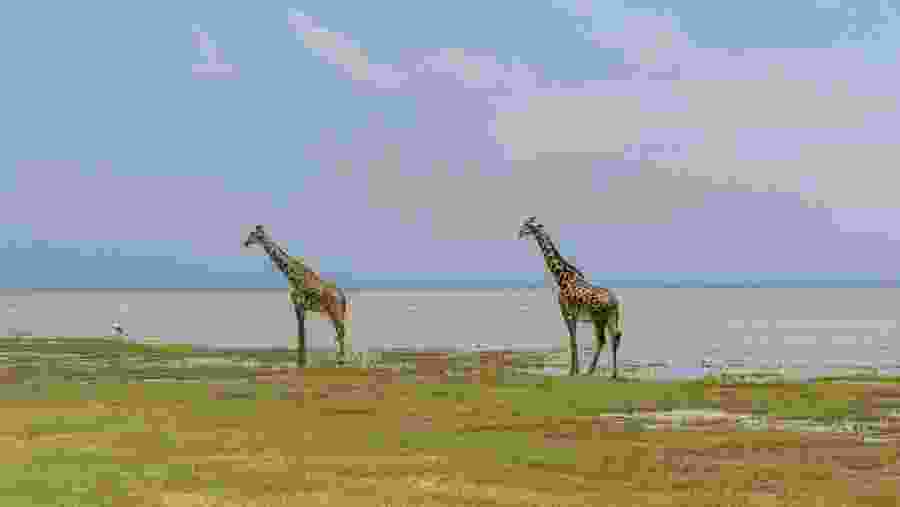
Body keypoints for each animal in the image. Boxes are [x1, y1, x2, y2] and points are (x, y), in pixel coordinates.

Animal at [243, 225, 352, 368]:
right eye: (251, 234)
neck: (293, 277)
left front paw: (301, 362)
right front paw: (301, 361)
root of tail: (342, 296)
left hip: (334, 311)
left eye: (256, 235)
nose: (246, 243)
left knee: (341, 330)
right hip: (336, 312)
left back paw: (341, 360)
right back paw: (340, 359)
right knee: (340, 331)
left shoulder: (299, 306)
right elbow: (301, 332)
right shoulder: (300, 308)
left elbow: (301, 333)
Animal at [518, 216, 624, 378]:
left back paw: (590, 371)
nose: (519, 233)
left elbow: (572, 341)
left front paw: (573, 371)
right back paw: (613, 374)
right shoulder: (574, 315)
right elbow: (574, 341)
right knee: (615, 337)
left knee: (602, 340)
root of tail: (614, 301)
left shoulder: (565, 312)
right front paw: (576, 370)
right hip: (612, 317)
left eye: (527, 226)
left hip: (598, 318)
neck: (561, 277)